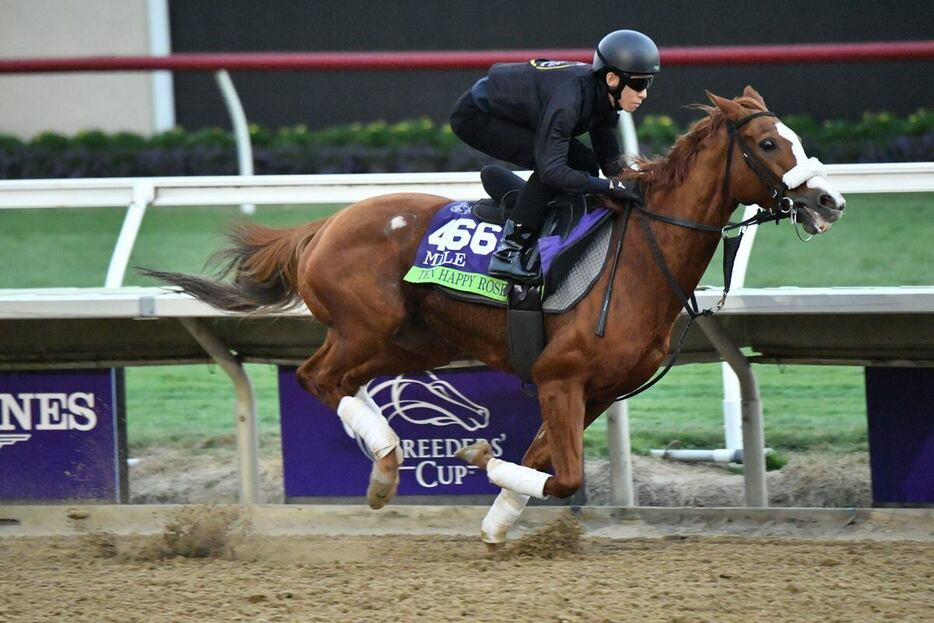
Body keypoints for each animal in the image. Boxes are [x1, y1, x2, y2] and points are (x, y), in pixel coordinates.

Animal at [144, 86, 848, 544]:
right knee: (317, 377)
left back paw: (383, 469)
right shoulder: (561, 376)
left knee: (344, 382)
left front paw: (495, 518)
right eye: (768, 142)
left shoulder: (595, 389)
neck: (641, 257)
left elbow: (545, 465)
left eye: (794, 138)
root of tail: (323, 226)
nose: (830, 202)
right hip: (363, 326)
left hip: (416, 343)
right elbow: (563, 476)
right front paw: (480, 459)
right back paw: (388, 460)